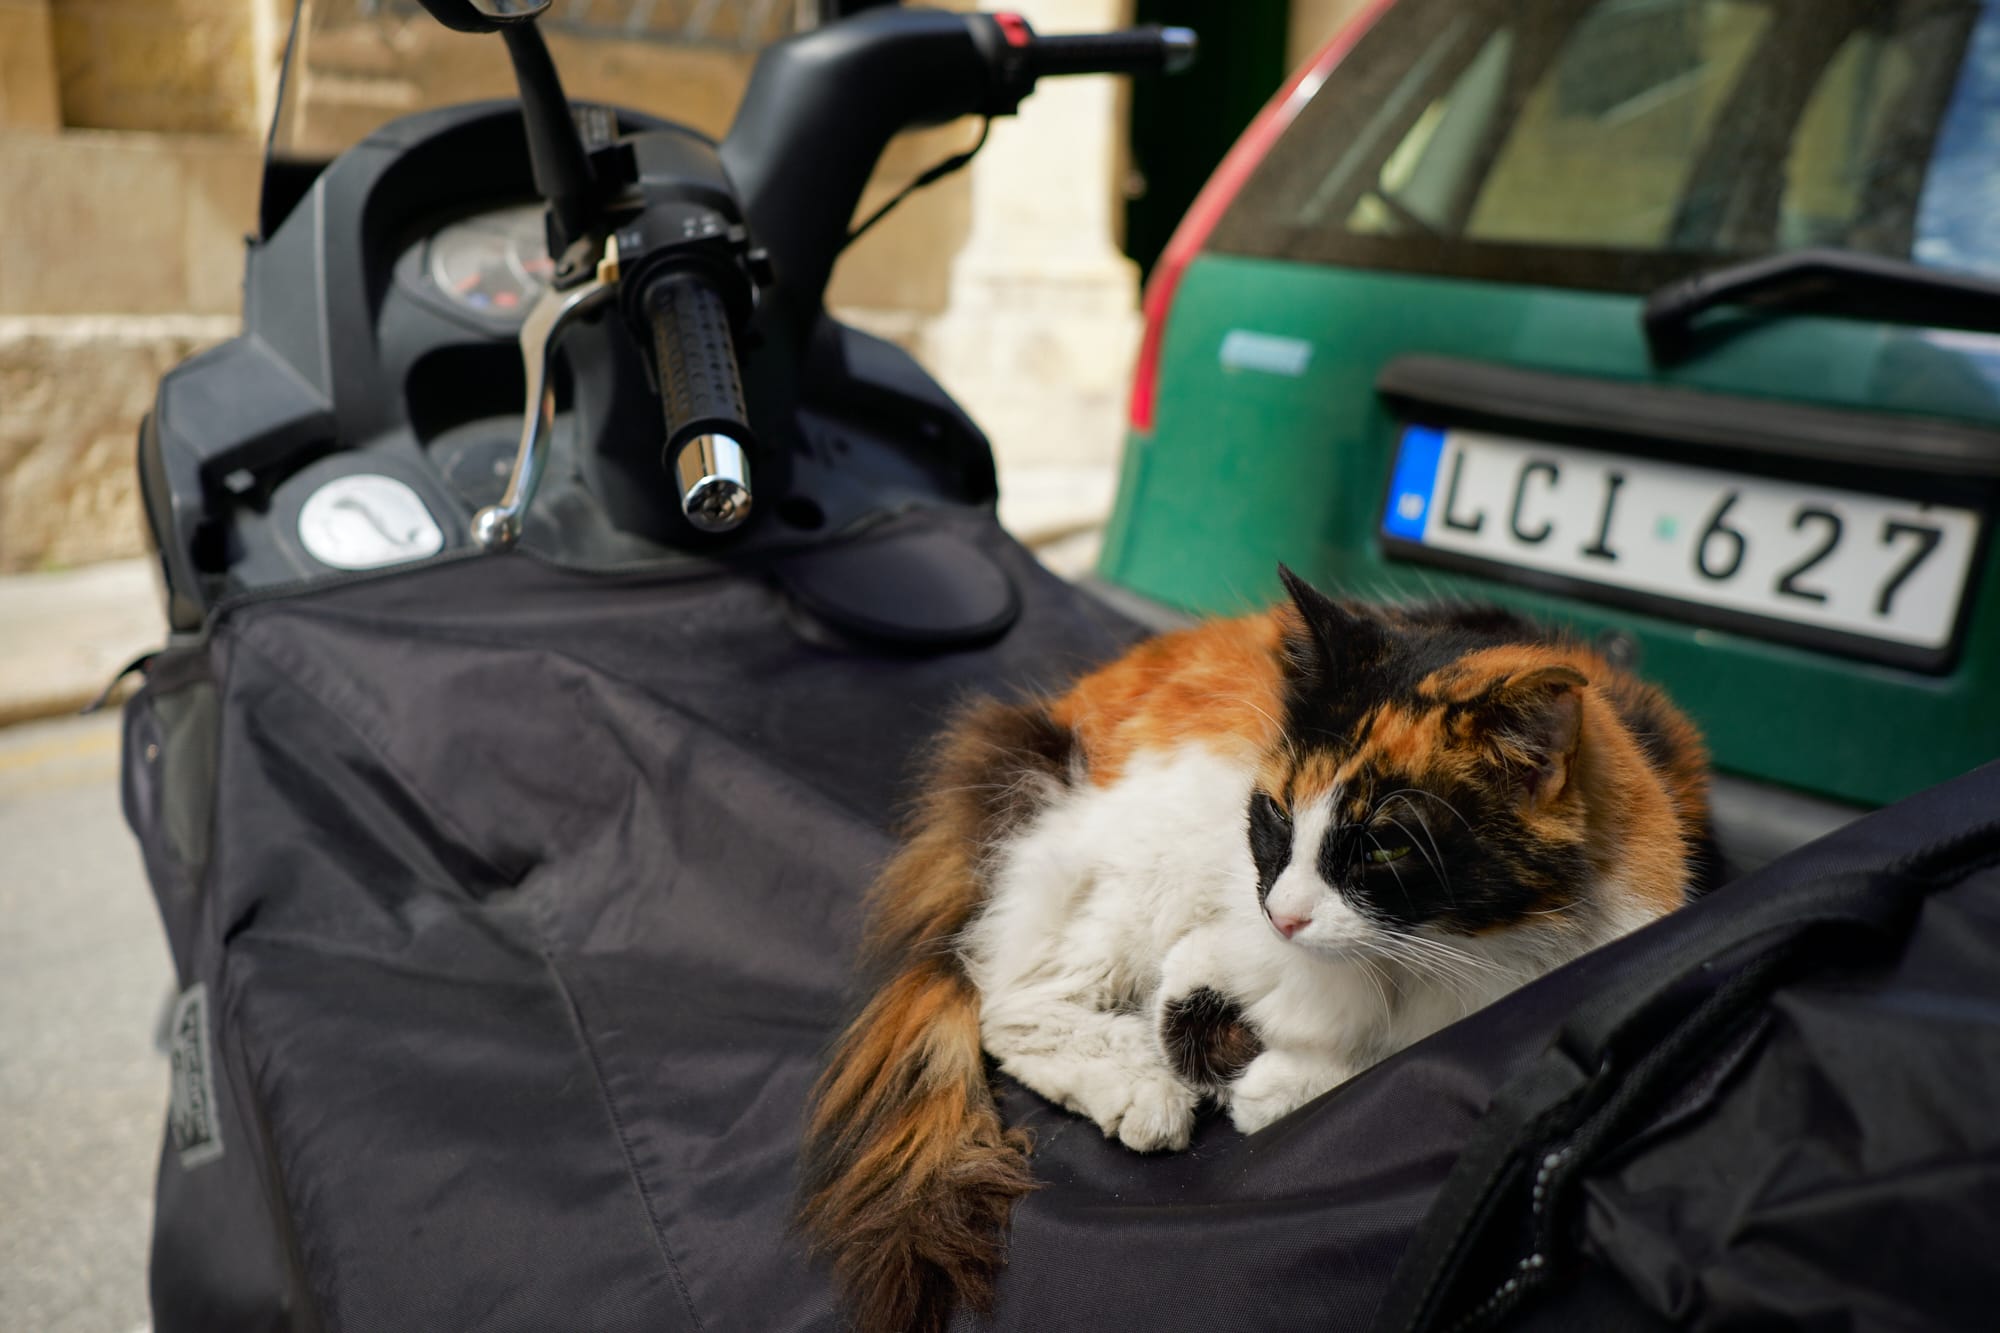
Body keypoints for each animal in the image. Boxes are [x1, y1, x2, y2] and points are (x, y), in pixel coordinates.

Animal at [792, 568, 1704, 1328]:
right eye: (1274, 814)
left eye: (1384, 846)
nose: (1284, 914)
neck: (1424, 958)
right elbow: (1197, 1011)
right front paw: (1233, 1064)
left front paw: (1274, 1076)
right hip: (1147, 855)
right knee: (1009, 999)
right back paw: (1144, 1090)